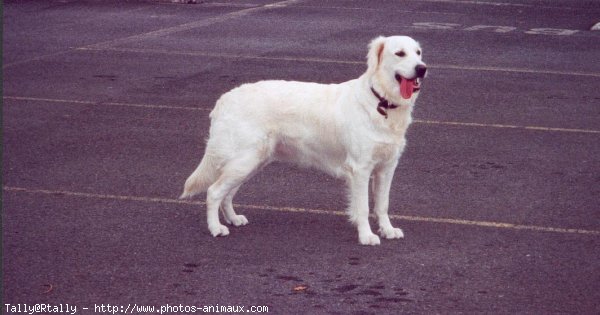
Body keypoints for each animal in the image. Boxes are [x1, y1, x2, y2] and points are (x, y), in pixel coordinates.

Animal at [182, 35, 426, 246]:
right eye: (400, 53)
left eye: (418, 53)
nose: (422, 69)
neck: (380, 101)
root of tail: (224, 99)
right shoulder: (360, 168)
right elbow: (364, 207)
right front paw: (366, 236)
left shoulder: (387, 167)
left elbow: (382, 204)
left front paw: (388, 230)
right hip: (244, 161)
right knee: (214, 192)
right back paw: (216, 228)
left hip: (251, 162)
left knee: (227, 193)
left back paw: (233, 219)